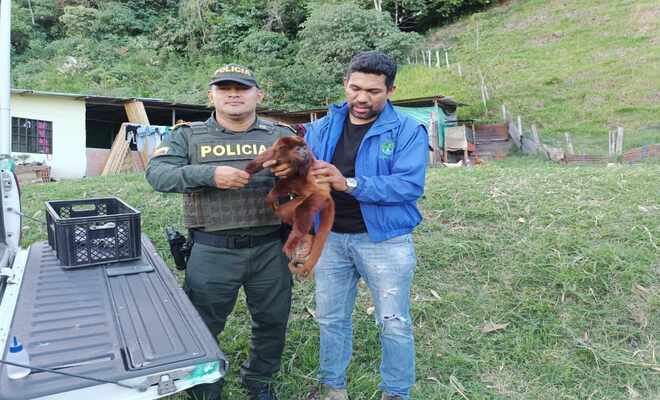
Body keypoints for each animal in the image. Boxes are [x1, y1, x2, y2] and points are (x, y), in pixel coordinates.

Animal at [245, 136, 335, 278]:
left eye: (304, 148)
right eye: (298, 149)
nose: (305, 152)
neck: (287, 157)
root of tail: (327, 194)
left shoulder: (307, 162)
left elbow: (295, 177)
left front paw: (272, 195)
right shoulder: (275, 152)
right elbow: (262, 159)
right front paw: (246, 171)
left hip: (319, 197)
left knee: (303, 207)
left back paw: (295, 238)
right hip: (301, 199)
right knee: (284, 210)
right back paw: (303, 235)